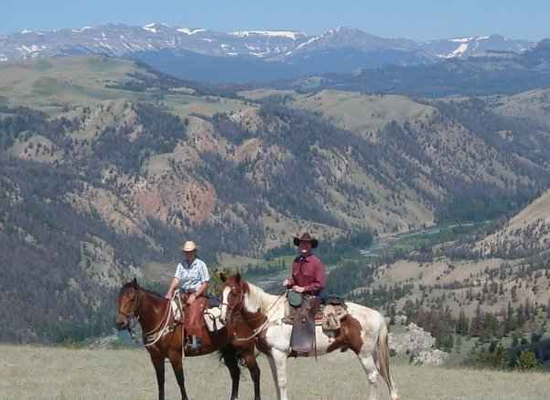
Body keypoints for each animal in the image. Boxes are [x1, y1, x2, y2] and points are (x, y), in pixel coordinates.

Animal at [116, 280, 264, 400]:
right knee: (235, 373)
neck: (160, 319)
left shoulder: (175, 356)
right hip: (228, 351)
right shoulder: (156, 357)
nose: (120, 323)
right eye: (119, 298)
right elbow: (160, 382)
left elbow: (180, 380)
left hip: (246, 350)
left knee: (255, 373)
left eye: (132, 298)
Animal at [221, 276, 402, 400]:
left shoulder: (279, 354)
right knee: (386, 375)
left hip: (364, 354)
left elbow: (282, 382)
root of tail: (377, 315)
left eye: (234, 293)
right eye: (221, 293)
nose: (223, 318)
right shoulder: (271, 356)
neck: (269, 315)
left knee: (373, 377)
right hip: (375, 354)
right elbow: (276, 382)